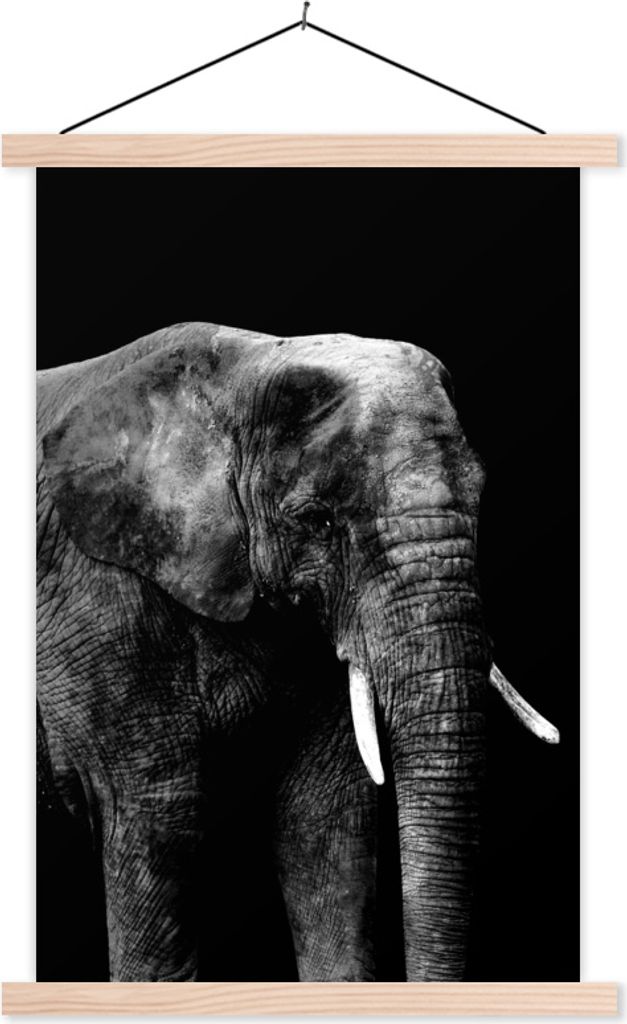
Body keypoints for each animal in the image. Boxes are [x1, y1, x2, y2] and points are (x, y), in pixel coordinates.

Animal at [37, 321, 559, 982]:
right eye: (317, 520)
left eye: (481, 498)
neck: (240, 367)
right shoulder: (93, 597)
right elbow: (154, 815)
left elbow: (326, 821)